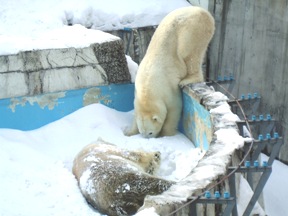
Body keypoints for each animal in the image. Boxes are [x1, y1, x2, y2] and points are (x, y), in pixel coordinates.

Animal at [125, 7, 215, 138]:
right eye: (143, 132)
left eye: (150, 132)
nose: (149, 138)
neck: (147, 88)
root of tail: (203, 11)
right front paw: (129, 132)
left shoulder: (167, 89)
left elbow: (174, 109)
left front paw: (167, 134)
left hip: (193, 29)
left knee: (190, 54)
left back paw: (187, 79)